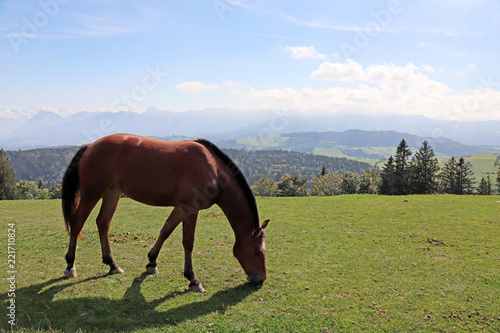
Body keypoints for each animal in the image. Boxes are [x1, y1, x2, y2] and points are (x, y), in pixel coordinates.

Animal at [60, 132, 268, 290]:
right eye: (257, 252)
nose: (261, 279)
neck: (213, 169)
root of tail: (90, 146)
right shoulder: (190, 209)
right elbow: (188, 242)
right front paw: (193, 279)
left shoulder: (180, 207)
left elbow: (165, 231)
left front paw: (152, 262)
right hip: (92, 193)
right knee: (77, 223)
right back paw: (70, 265)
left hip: (112, 192)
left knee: (103, 223)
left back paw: (112, 264)